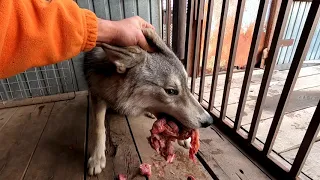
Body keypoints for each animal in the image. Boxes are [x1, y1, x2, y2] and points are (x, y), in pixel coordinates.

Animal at [84, 28, 214, 175]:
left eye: (187, 85)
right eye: (171, 91)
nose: (209, 121)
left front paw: (186, 139)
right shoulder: (96, 94)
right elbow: (99, 128)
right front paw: (96, 158)